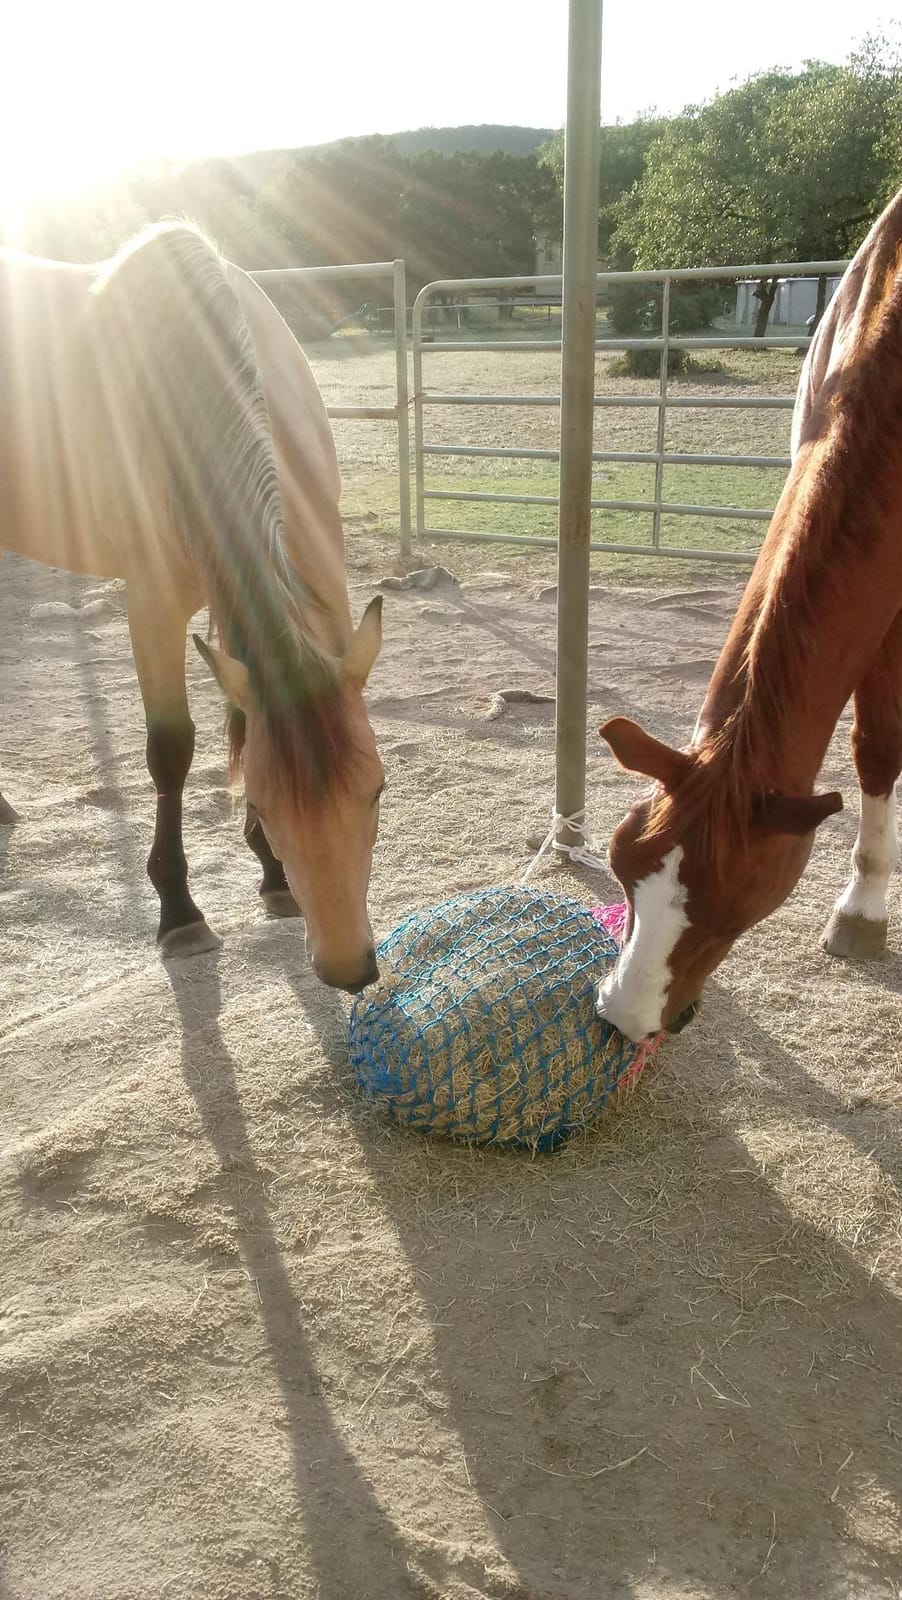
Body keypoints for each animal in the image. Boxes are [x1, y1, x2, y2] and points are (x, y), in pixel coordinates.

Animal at [0, 222, 385, 993]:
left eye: (379, 791)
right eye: (263, 803)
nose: (346, 969)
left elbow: (241, 722)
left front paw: (271, 877)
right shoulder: (151, 603)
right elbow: (172, 750)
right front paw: (180, 913)